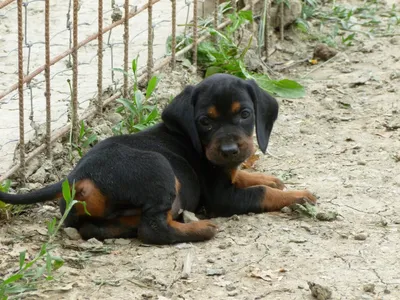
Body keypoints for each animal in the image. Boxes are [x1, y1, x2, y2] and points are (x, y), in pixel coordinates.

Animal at [0, 74, 316, 245]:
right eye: (204, 121)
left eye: (245, 114)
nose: (228, 150)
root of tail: (76, 176)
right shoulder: (221, 198)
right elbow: (261, 193)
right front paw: (299, 196)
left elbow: (245, 176)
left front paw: (271, 179)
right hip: (160, 168)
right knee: (153, 229)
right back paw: (201, 229)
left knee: (99, 228)